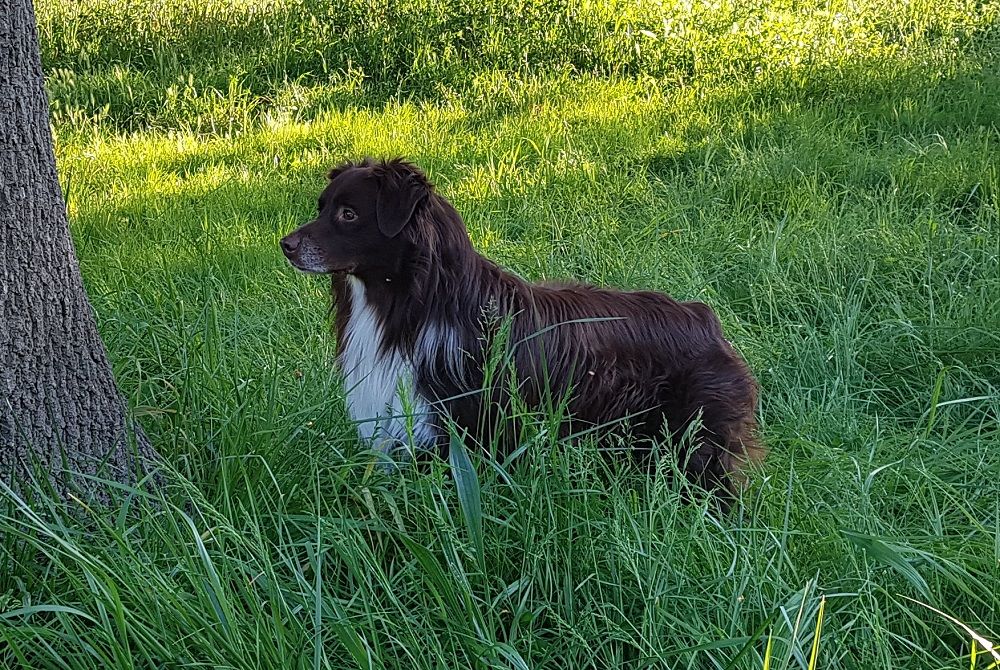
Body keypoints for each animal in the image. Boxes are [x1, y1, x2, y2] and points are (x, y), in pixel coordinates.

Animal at [278, 160, 760, 502]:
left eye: (348, 214)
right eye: (322, 207)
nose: (284, 244)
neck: (412, 304)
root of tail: (703, 318)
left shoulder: (462, 433)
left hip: (695, 444)